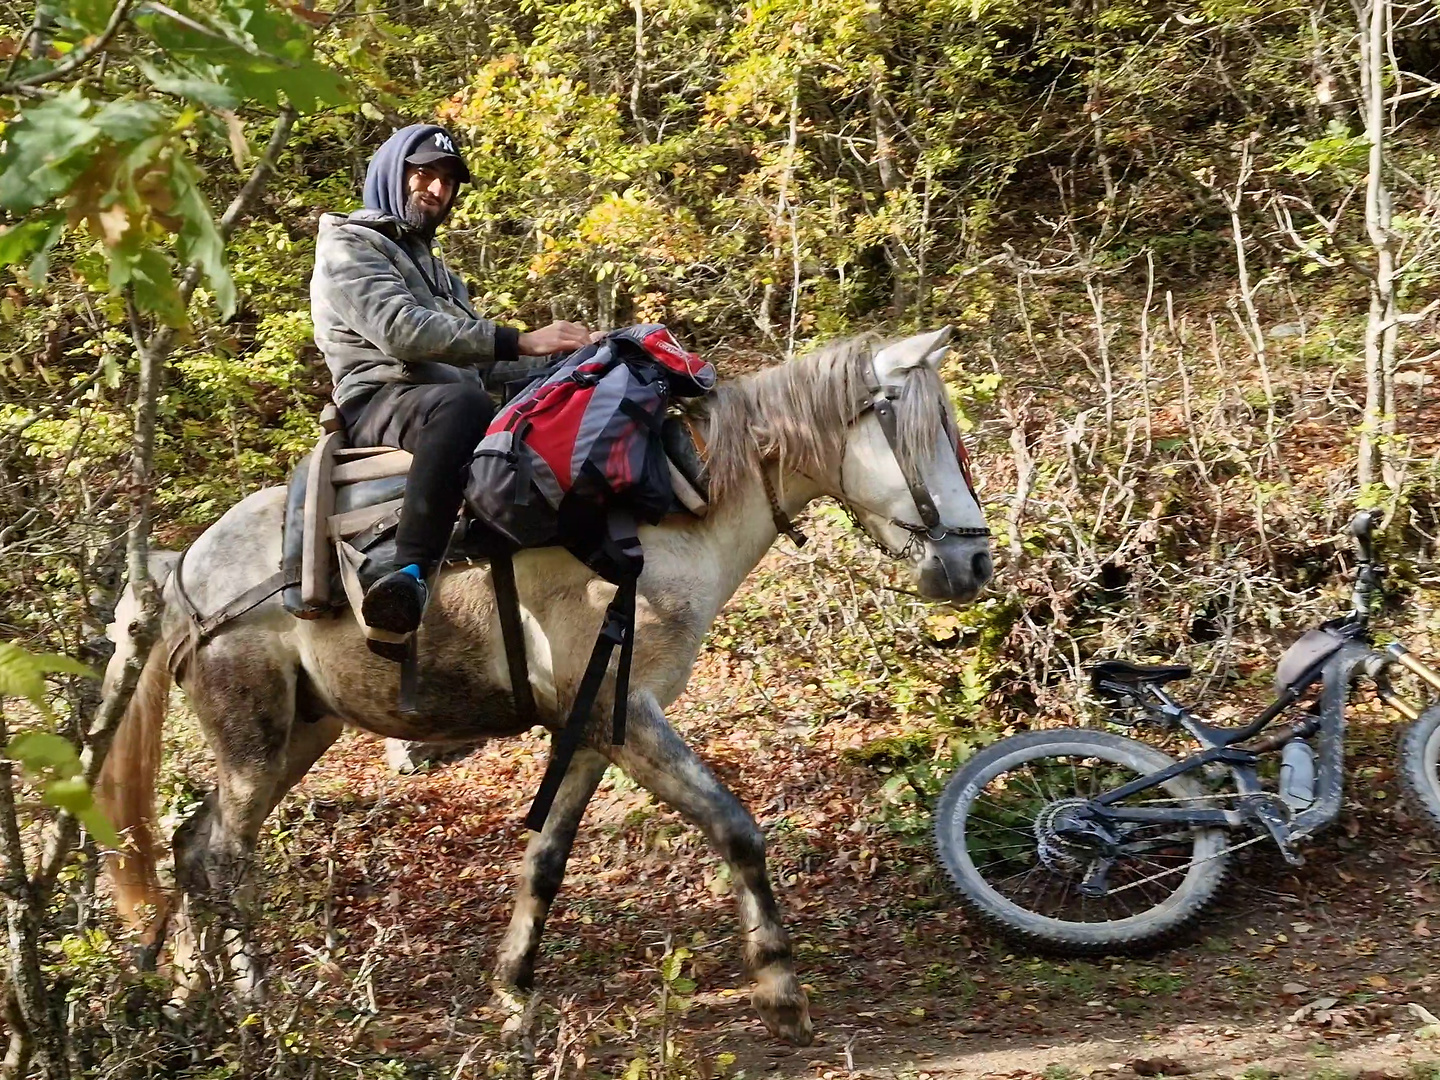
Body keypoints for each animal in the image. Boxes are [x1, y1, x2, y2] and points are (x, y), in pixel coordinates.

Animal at [96, 327, 994, 1045]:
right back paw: (254, 1004)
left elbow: (546, 860)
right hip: (252, 736)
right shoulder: (633, 715)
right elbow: (735, 827)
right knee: (222, 855)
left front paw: (514, 990)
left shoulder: (596, 724)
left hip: (300, 733)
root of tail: (184, 566)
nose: (977, 561)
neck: (671, 505)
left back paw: (190, 995)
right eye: (928, 433)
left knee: (192, 845)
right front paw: (780, 987)